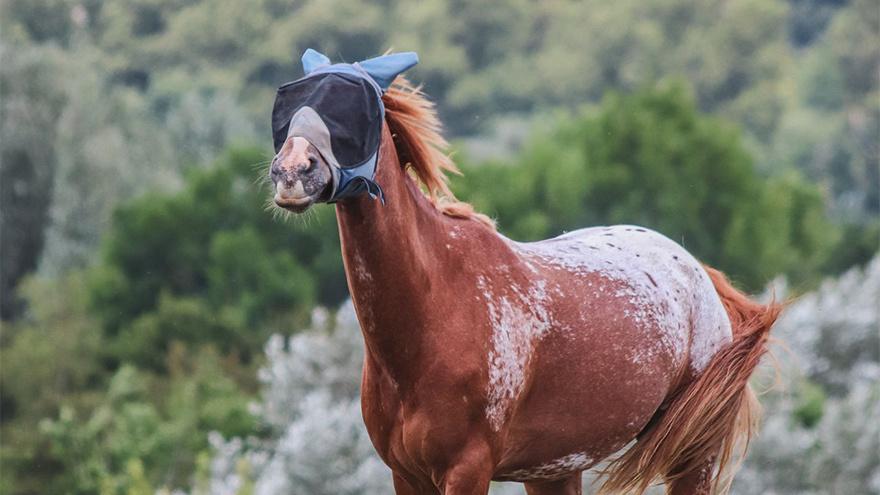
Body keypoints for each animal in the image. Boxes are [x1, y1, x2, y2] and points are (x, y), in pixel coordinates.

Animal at [268, 57, 781, 494]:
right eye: (288, 107)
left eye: (350, 109)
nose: (291, 173)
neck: (436, 309)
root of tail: (697, 272)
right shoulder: (407, 475)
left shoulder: (467, 469)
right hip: (556, 470)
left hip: (693, 458)